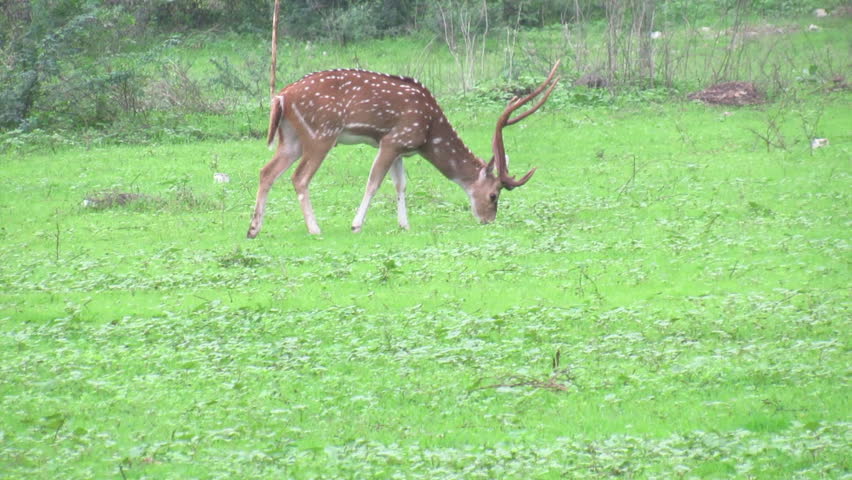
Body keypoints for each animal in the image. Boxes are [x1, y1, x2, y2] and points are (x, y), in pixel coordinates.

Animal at [247, 60, 560, 237]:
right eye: (494, 195)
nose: (488, 220)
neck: (429, 134)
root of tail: (281, 97)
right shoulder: (393, 139)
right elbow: (374, 182)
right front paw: (356, 225)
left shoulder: (401, 147)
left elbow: (400, 184)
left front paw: (404, 225)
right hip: (321, 134)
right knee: (299, 177)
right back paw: (314, 229)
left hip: (291, 139)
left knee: (266, 171)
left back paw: (253, 229)